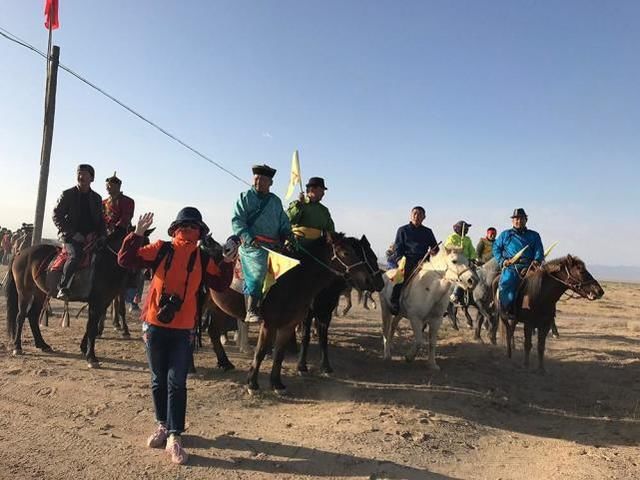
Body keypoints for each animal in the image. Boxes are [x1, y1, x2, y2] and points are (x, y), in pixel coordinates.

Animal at [4, 229, 146, 368]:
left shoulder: (104, 301)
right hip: (25, 292)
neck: (106, 263)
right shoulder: (96, 302)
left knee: (33, 316)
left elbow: (92, 326)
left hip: (40, 293)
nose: (140, 275)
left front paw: (84, 348)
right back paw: (17, 347)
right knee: (21, 316)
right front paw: (91, 357)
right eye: (135, 244)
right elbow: (92, 327)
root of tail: (21, 253)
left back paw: (42, 344)